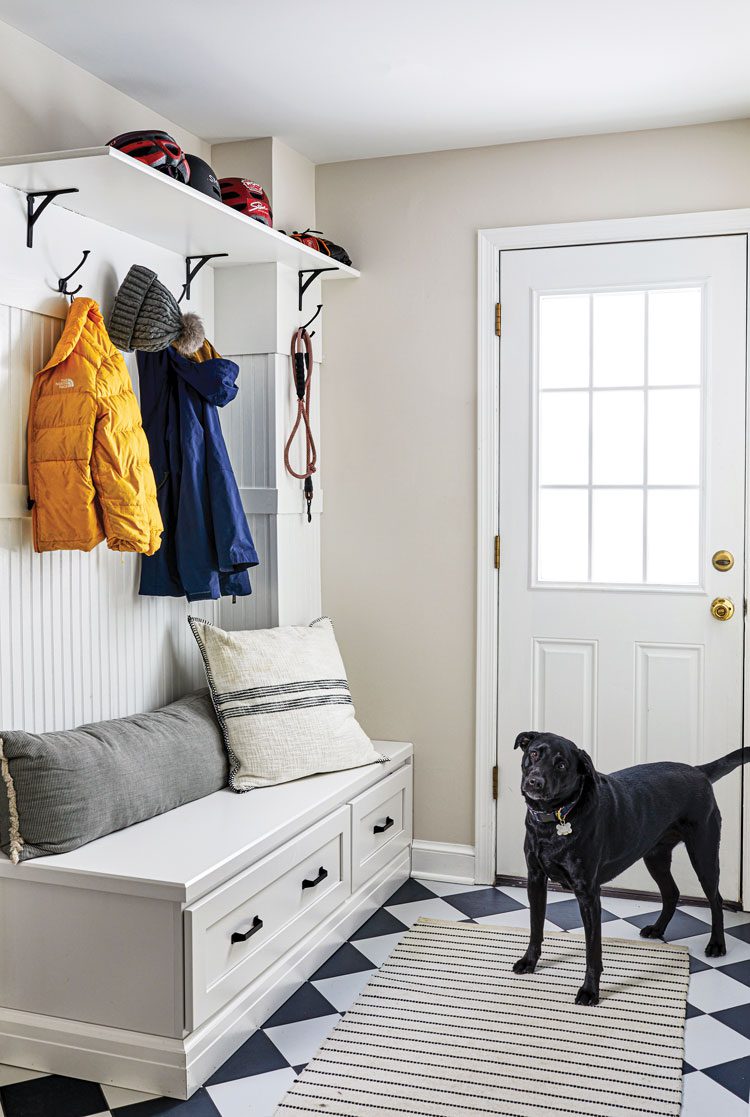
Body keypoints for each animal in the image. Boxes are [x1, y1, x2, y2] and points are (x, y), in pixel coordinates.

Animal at [514, 728, 746, 1009]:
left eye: (561, 765)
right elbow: (535, 927)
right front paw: (529, 961)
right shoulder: (535, 880)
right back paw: (657, 929)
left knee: (715, 899)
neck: (555, 819)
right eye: (534, 754)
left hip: (704, 853)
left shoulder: (588, 894)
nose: (535, 782)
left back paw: (717, 944)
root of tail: (698, 771)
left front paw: (590, 991)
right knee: (672, 893)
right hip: (656, 856)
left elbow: (593, 951)